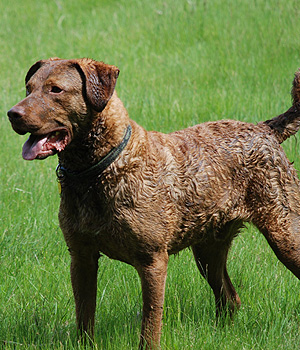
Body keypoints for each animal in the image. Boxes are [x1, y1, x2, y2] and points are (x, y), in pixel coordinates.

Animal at [6, 58, 300, 348]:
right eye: (29, 88)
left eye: (55, 89)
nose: (12, 113)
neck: (100, 171)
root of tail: (265, 129)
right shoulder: (81, 256)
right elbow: (84, 317)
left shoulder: (152, 261)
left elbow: (150, 323)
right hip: (208, 249)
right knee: (229, 298)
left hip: (285, 233)